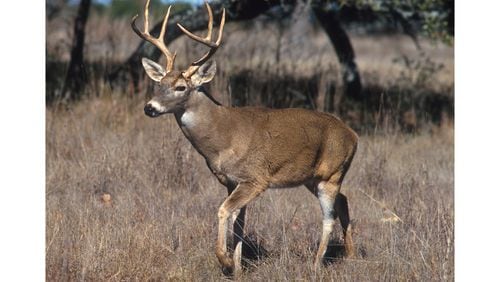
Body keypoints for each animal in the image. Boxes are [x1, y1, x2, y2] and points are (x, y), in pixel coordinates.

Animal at [133, 0, 360, 276]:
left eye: (181, 87)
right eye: (159, 84)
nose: (150, 107)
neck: (223, 138)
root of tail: (353, 135)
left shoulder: (255, 178)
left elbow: (223, 211)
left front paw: (226, 261)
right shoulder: (232, 181)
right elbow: (239, 222)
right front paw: (239, 267)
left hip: (332, 173)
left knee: (329, 217)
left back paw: (316, 264)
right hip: (313, 177)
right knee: (344, 201)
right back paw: (350, 255)